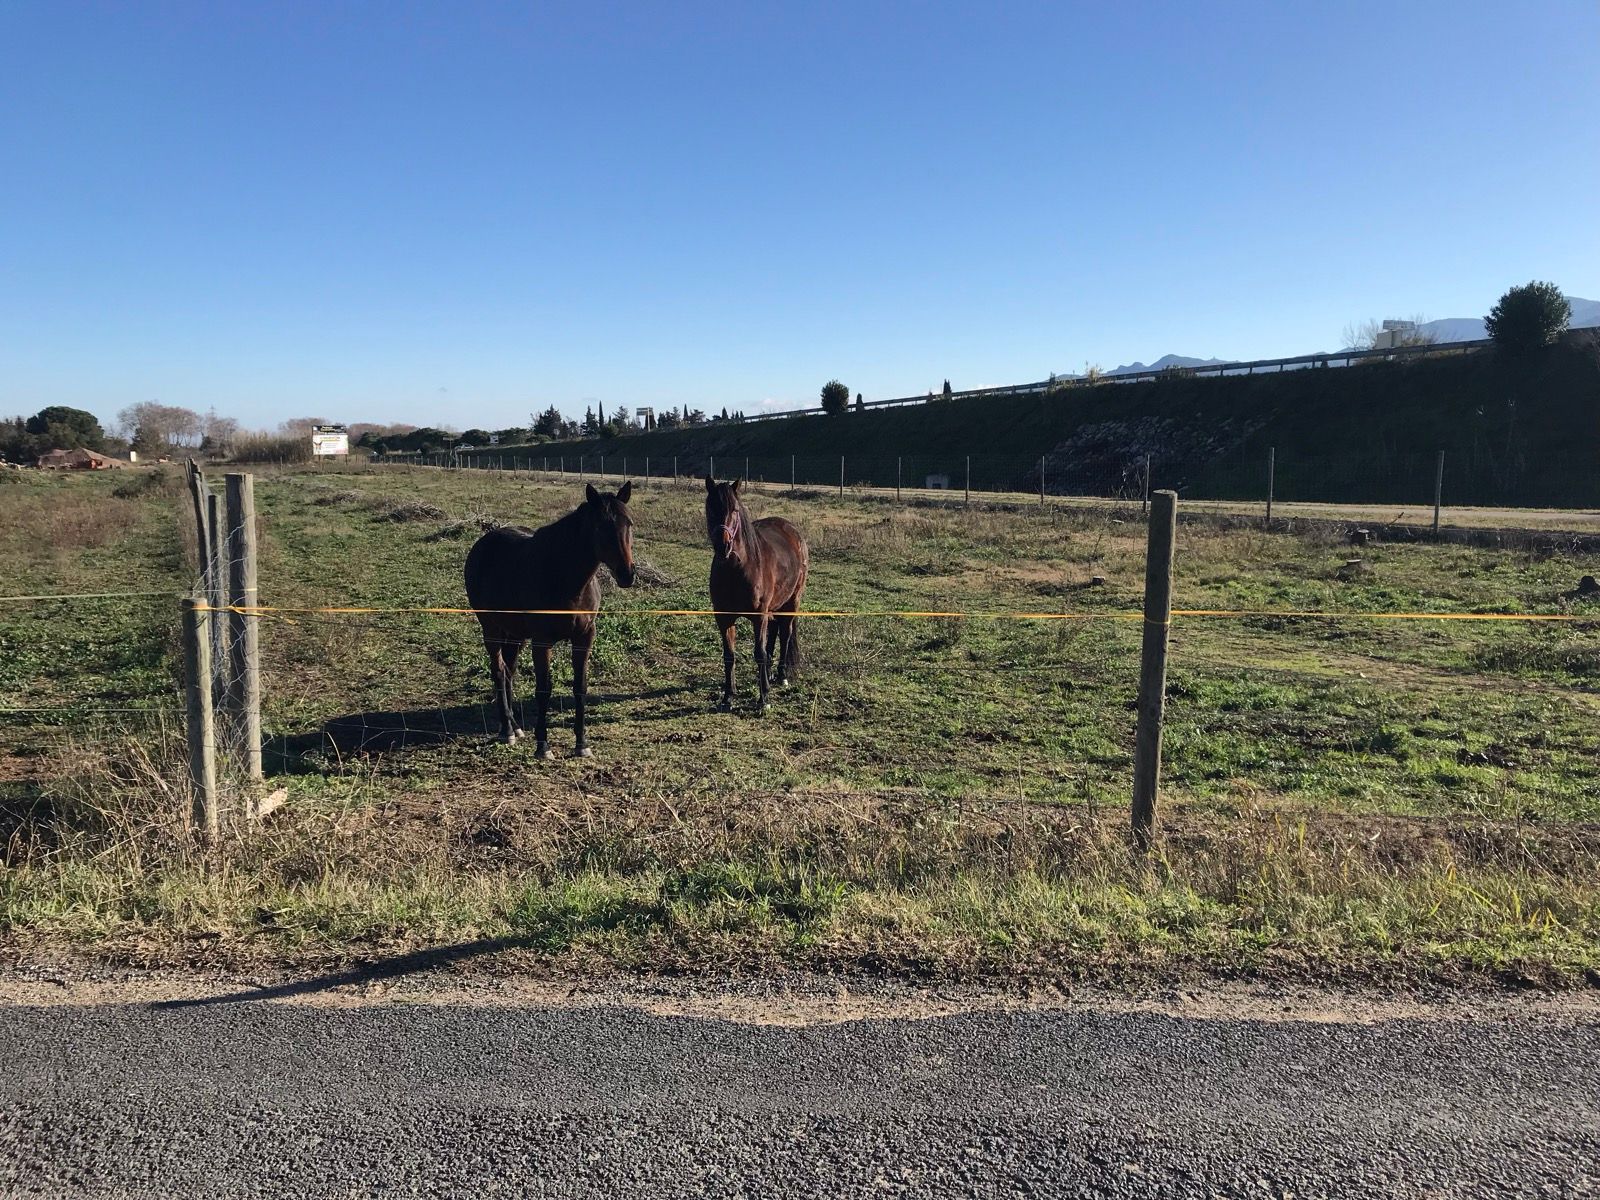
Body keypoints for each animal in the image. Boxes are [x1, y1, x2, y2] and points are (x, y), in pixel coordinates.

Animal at [463, 482, 635, 757]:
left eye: (629, 523)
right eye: (600, 526)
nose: (627, 574)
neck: (565, 578)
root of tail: (483, 544)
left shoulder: (584, 637)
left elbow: (580, 687)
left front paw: (582, 744)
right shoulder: (542, 641)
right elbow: (543, 690)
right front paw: (542, 745)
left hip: (515, 634)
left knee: (509, 671)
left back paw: (515, 726)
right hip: (491, 627)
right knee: (499, 671)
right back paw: (507, 731)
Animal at [704, 476, 808, 712]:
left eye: (734, 510)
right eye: (710, 508)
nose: (723, 547)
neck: (737, 569)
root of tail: (792, 531)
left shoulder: (758, 616)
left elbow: (759, 653)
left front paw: (763, 699)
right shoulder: (724, 618)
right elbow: (729, 655)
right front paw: (728, 696)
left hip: (791, 602)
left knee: (785, 634)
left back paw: (781, 675)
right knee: (774, 632)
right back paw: (768, 674)